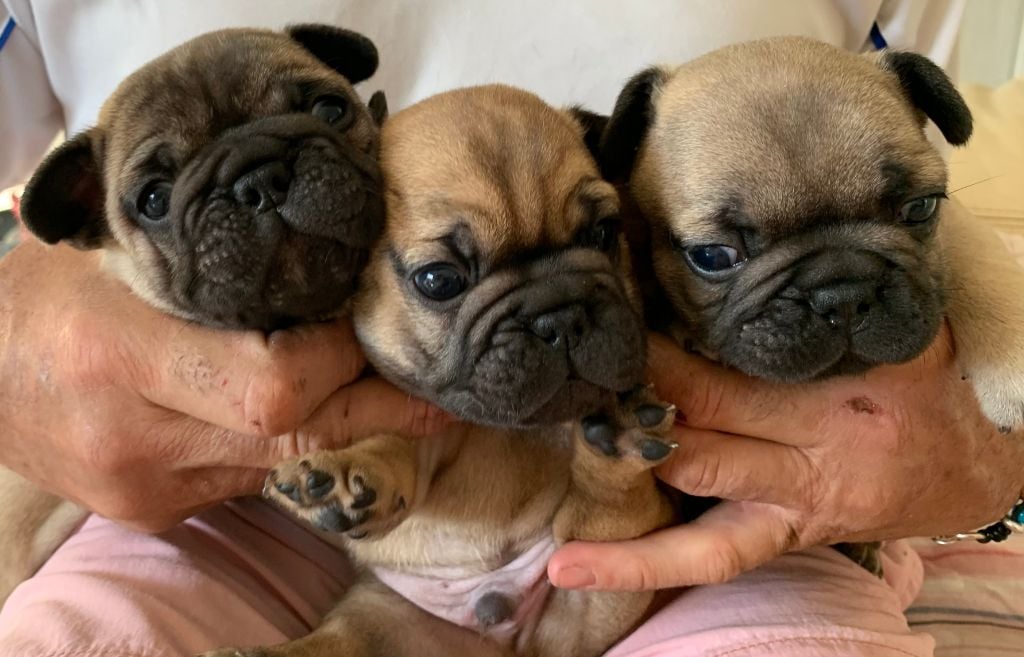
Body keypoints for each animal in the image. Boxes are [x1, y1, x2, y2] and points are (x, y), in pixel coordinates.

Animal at [200, 82, 679, 654]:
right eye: (439, 281)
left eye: (605, 232)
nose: (560, 316)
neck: (501, 431)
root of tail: (504, 637)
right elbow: (392, 443)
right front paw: (342, 469)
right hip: (379, 618)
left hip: (599, 583)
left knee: (607, 520)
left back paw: (619, 445)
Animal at [598, 38, 1024, 431]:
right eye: (713, 256)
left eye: (920, 208)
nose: (845, 294)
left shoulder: (957, 222)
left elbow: (981, 263)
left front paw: (1010, 366)